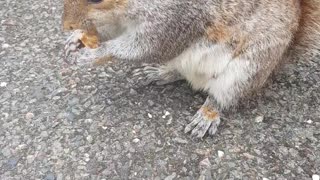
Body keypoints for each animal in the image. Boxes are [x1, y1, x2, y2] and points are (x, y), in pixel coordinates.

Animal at [62, 0, 320, 139]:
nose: (66, 25)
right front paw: (76, 38)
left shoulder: (176, 19)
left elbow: (147, 46)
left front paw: (93, 54)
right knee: (180, 72)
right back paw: (158, 73)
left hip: (247, 70)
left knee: (223, 97)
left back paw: (208, 113)